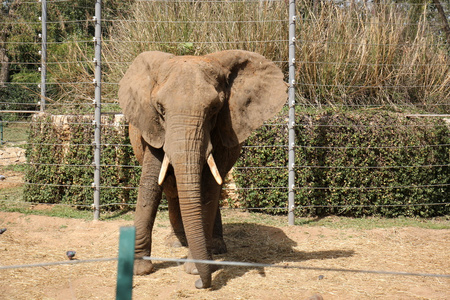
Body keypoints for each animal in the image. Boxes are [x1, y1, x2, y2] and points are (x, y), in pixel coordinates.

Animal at [118, 49, 286, 288]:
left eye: (214, 109)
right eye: (160, 109)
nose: (200, 284)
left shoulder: (223, 127)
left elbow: (207, 187)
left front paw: (196, 270)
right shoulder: (152, 128)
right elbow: (150, 183)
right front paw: (140, 270)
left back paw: (215, 248)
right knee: (172, 190)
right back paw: (177, 242)